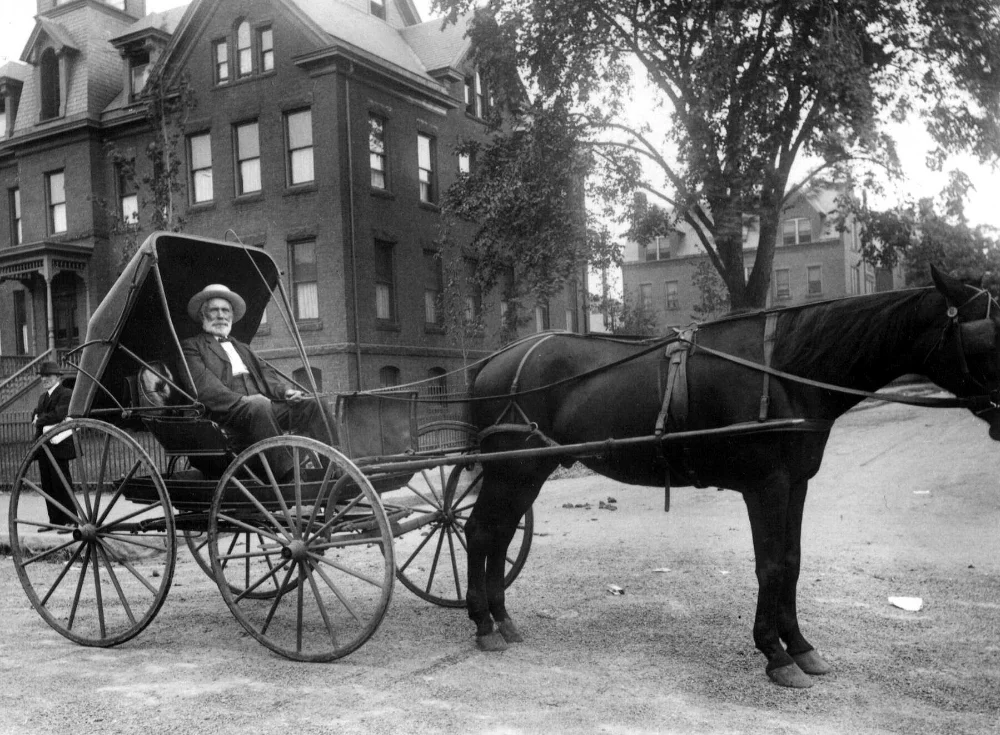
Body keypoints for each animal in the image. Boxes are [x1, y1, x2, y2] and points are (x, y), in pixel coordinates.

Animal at [464, 268, 1000, 688]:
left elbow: (792, 562)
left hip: (527, 471)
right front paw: (775, 654)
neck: (785, 370)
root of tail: (492, 362)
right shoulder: (766, 486)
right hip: (513, 469)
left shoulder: (796, 484)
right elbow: (771, 566)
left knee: (498, 534)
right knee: (480, 532)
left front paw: (800, 645)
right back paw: (483, 623)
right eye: (984, 337)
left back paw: (502, 618)